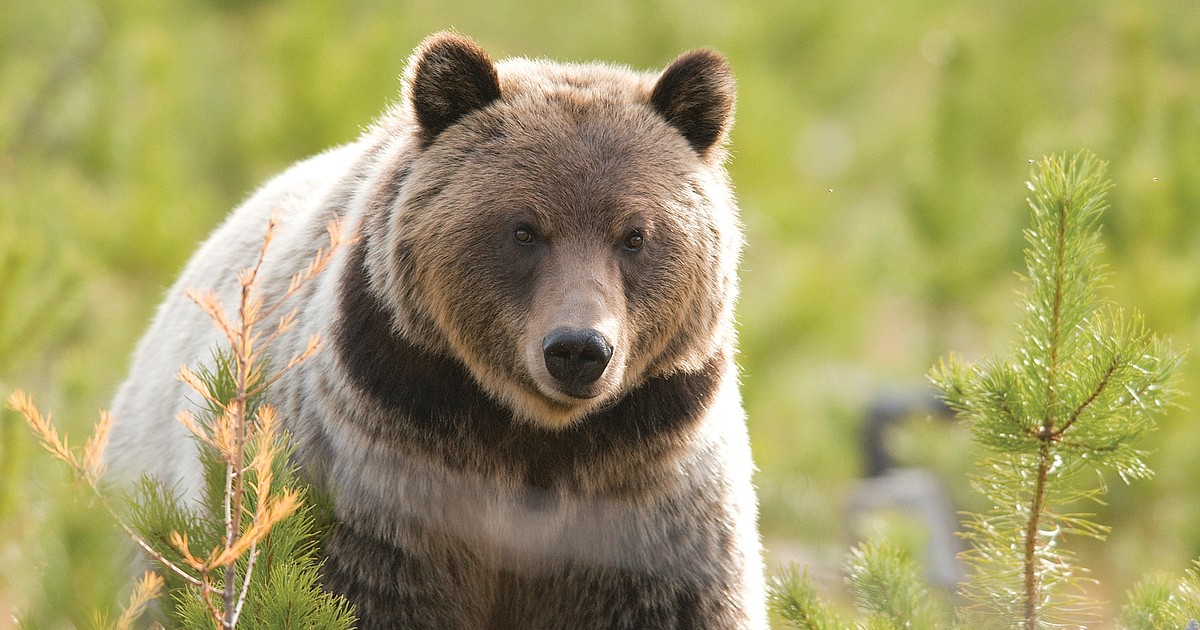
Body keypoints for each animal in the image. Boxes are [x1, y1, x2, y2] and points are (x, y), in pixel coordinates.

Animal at [108, 30, 763, 628]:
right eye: (524, 229)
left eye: (634, 235)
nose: (578, 349)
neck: (537, 436)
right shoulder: (387, 476)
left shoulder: (648, 500)